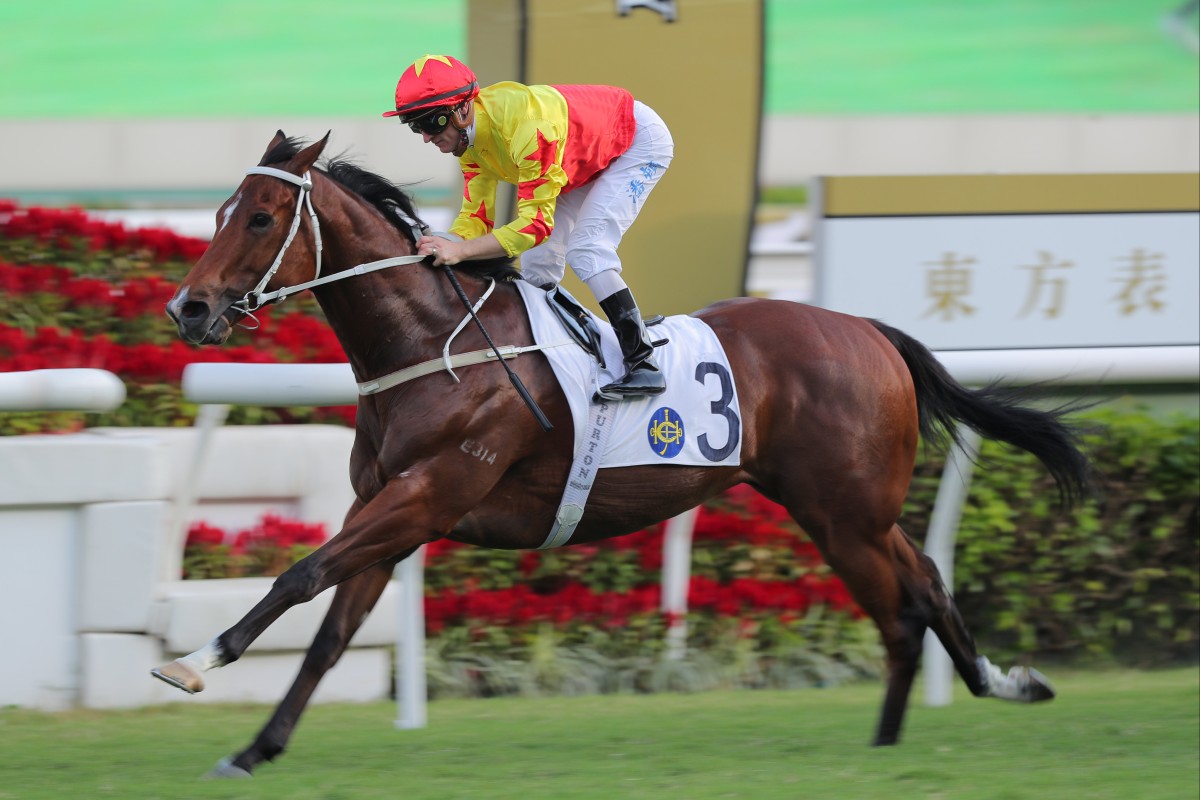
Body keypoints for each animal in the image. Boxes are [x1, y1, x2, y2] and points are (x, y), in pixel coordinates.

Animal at [154, 131, 1094, 777]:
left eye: (261, 217)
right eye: (216, 215)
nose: (187, 309)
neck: (433, 345)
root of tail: (867, 328)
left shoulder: (428, 493)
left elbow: (299, 576)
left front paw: (193, 664)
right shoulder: (390, 510)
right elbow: (330, 635)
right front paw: (254, 748)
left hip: (844, 513)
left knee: (904, 606)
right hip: (846, 507)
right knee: (923, 586)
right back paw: (978, 698)